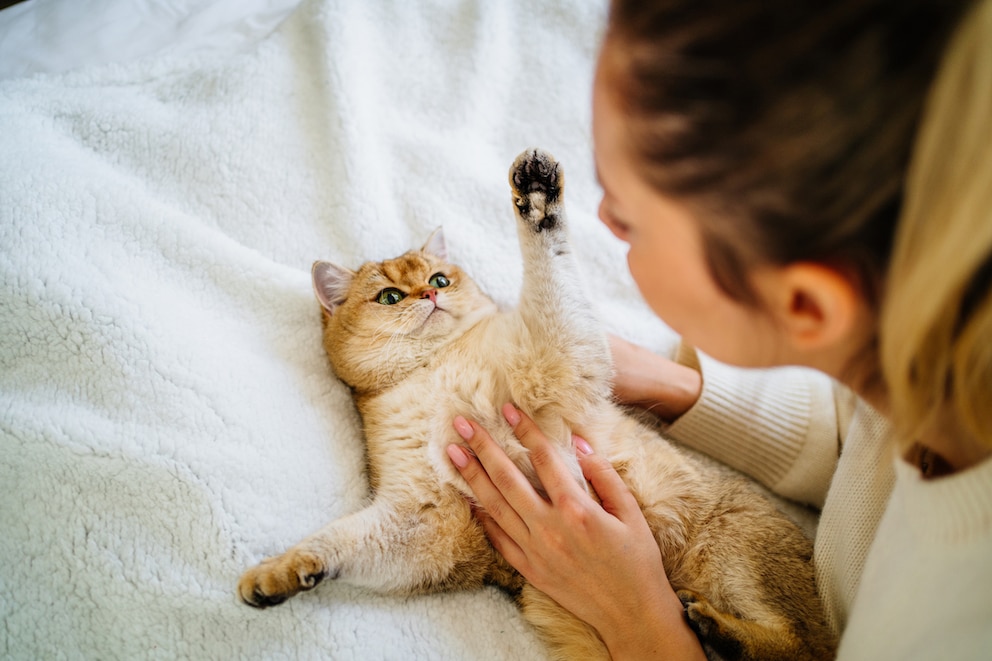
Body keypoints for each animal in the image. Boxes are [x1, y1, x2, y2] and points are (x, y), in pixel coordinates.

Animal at [238, 150, 836, 660]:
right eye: (389, 296)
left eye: (439, 277)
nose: (431, 295)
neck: (435, 371)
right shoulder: (430, 521)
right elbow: (343, 542)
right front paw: (280, 573)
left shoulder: (557, 367)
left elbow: (550, 272)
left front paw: (538, 197)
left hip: (740, 552)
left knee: (802, 647)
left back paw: (716, 627)